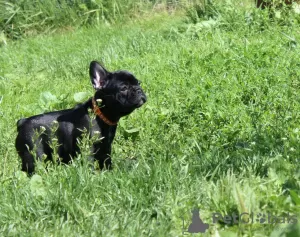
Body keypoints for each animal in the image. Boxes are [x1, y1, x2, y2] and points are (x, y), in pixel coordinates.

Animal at [15, 61, 146, 174]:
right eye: (124, 88)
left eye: (139, 83)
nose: (139, 90)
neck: (99, 115)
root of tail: (22, 122)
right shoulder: (87, 149)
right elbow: (89, 164)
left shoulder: (106, 148)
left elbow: (106, 162)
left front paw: (109, 173)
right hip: (35, 155)